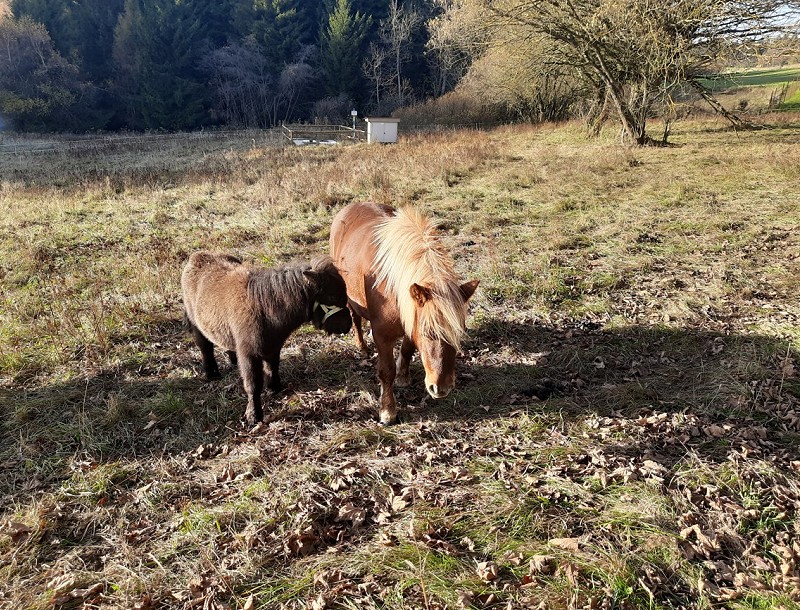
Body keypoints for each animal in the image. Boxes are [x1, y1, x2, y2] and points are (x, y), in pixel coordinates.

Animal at [186, 249, 354, 420]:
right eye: (332, 296)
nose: (348, 325)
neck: (264, 309)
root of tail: (198, 256)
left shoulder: (273, 346)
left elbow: (272, 367)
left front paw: (274, 388)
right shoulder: (249, 354)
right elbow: (253, 384)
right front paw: (254, 415)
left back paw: (232, 361)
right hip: (197, 326)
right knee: (205, 348)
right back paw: (211, 373)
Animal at [330, 202, 478, 420]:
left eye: (458, 334)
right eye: (428, 333)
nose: (441, 389)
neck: (392, 287)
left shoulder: (411, 320)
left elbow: (407, 350)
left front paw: (403, 378)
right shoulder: (382, 335)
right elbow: (386, 371)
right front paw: (387, 411)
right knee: (355, 317)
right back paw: (362, 347)